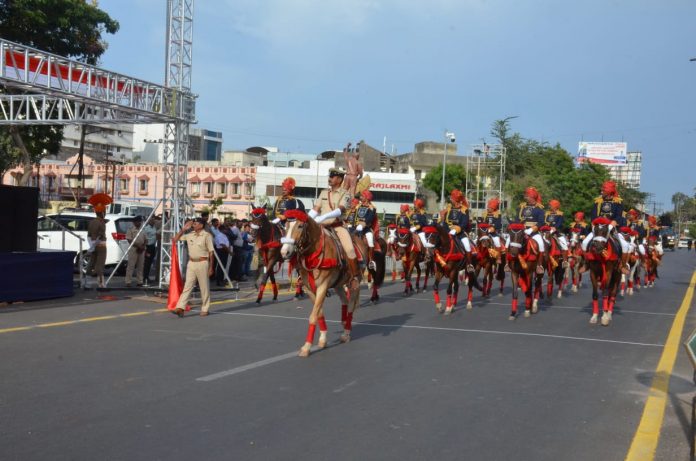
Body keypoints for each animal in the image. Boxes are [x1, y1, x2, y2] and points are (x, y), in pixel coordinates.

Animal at [280, 210, 362, 358]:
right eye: (286, 226)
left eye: (300, 226)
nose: (284, 252)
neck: (312, 254)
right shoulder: (309, 289)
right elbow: (318, 314)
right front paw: (323, 340)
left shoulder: (323, 286)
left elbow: (313, 316)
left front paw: (306, 347)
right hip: (339, 284)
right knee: (345, 301)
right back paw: (344, 322)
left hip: (354, 283)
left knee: (351, 305)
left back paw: (346, 333)